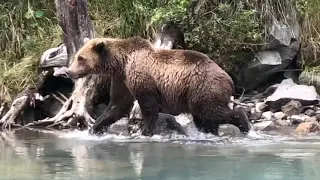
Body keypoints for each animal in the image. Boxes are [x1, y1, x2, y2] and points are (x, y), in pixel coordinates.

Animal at [67, 36, 252, 135]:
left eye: (81, 58)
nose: (69, 72)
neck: (122, 62)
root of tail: (229, 79)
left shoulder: (141, 76)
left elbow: (148, 105)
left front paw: (145, 131)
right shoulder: (121, 80)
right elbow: (117, 105)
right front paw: (94, 128)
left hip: (204, 87)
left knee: (212, 112)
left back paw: (244, 125)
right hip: (196, 94)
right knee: (205, 117)